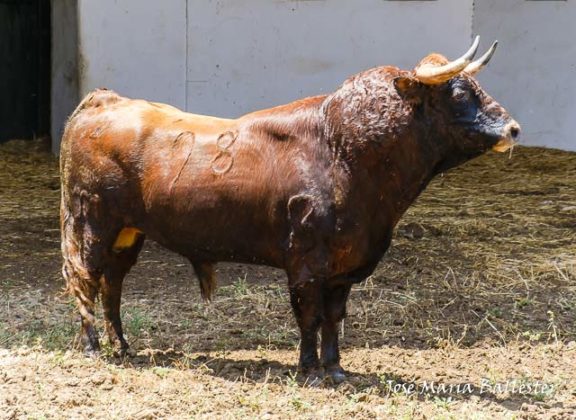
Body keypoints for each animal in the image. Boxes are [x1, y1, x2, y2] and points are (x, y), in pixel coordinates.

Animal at [60, 37, 520, 382]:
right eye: (458, 92)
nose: (513, 128)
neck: (345, 150)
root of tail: (104, 101)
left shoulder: (344, 267)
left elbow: (333, 317)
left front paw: (335, 368)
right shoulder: (306, 262)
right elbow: (309, 317)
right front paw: (310, 369)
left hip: (128, 233)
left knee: (113, 284)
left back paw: (122, 346)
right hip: (91, 222)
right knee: (86, 278)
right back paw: (93, 348)